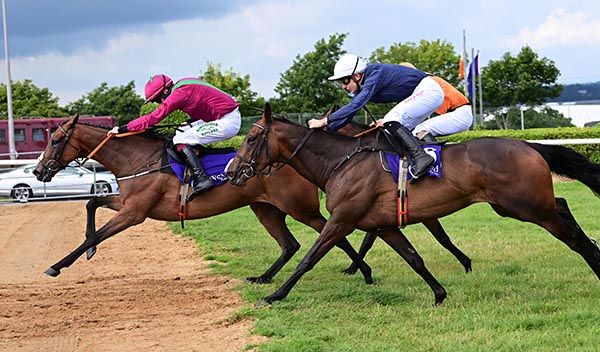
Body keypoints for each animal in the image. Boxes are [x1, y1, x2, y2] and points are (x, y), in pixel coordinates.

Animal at [229, 102, 600, 306]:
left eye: (252, 138)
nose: (232, 171)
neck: (342, 160)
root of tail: (528, 145)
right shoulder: (382, 223)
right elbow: (414, 258)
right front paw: (439, 294)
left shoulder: (342, 218)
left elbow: (309, 258)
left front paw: (275, 295)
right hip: (519, 205)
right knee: (564, 206)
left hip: (527, 206)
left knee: (572, 236)